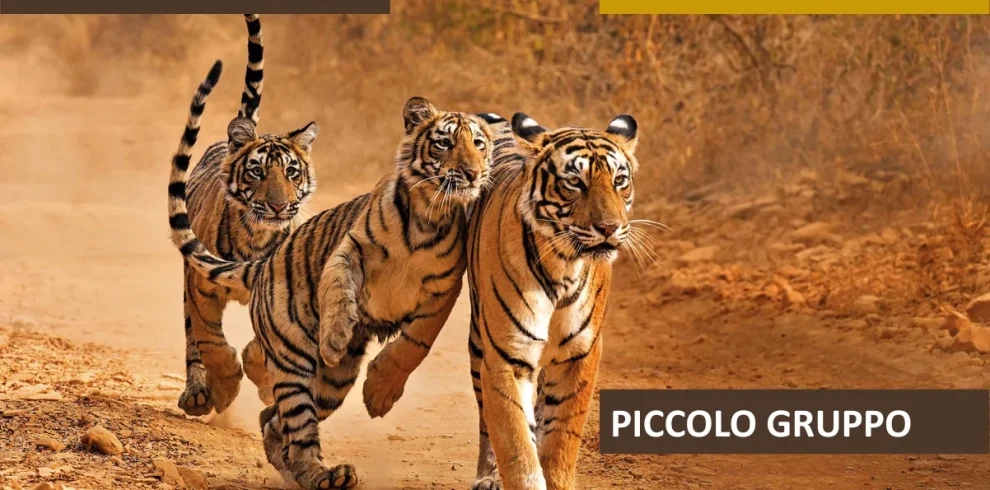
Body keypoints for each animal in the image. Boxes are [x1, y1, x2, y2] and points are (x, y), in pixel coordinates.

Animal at [167, 63, 493, 490]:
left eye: (480, 145)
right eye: (445, 143)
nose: (472, 173)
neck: (428, 214)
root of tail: (264, 263)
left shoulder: (445, 290)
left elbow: (415, 343)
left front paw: (380, 393)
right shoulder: (350, 247)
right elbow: (337, 286)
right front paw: (336, 336)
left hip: (333, 384)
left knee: (274, 421)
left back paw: (311, 471)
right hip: (293, 359)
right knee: (294, 421)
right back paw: (321, 473)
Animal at [174, 14, 320, 418]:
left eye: (291, 172)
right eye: (257, 171)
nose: (278, 206)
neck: (257, 235)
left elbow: (264, 347)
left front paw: (264, 381)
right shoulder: (200, 284)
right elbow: (211, 342)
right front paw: (224, 390)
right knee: (193, 339)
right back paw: (198, 394)